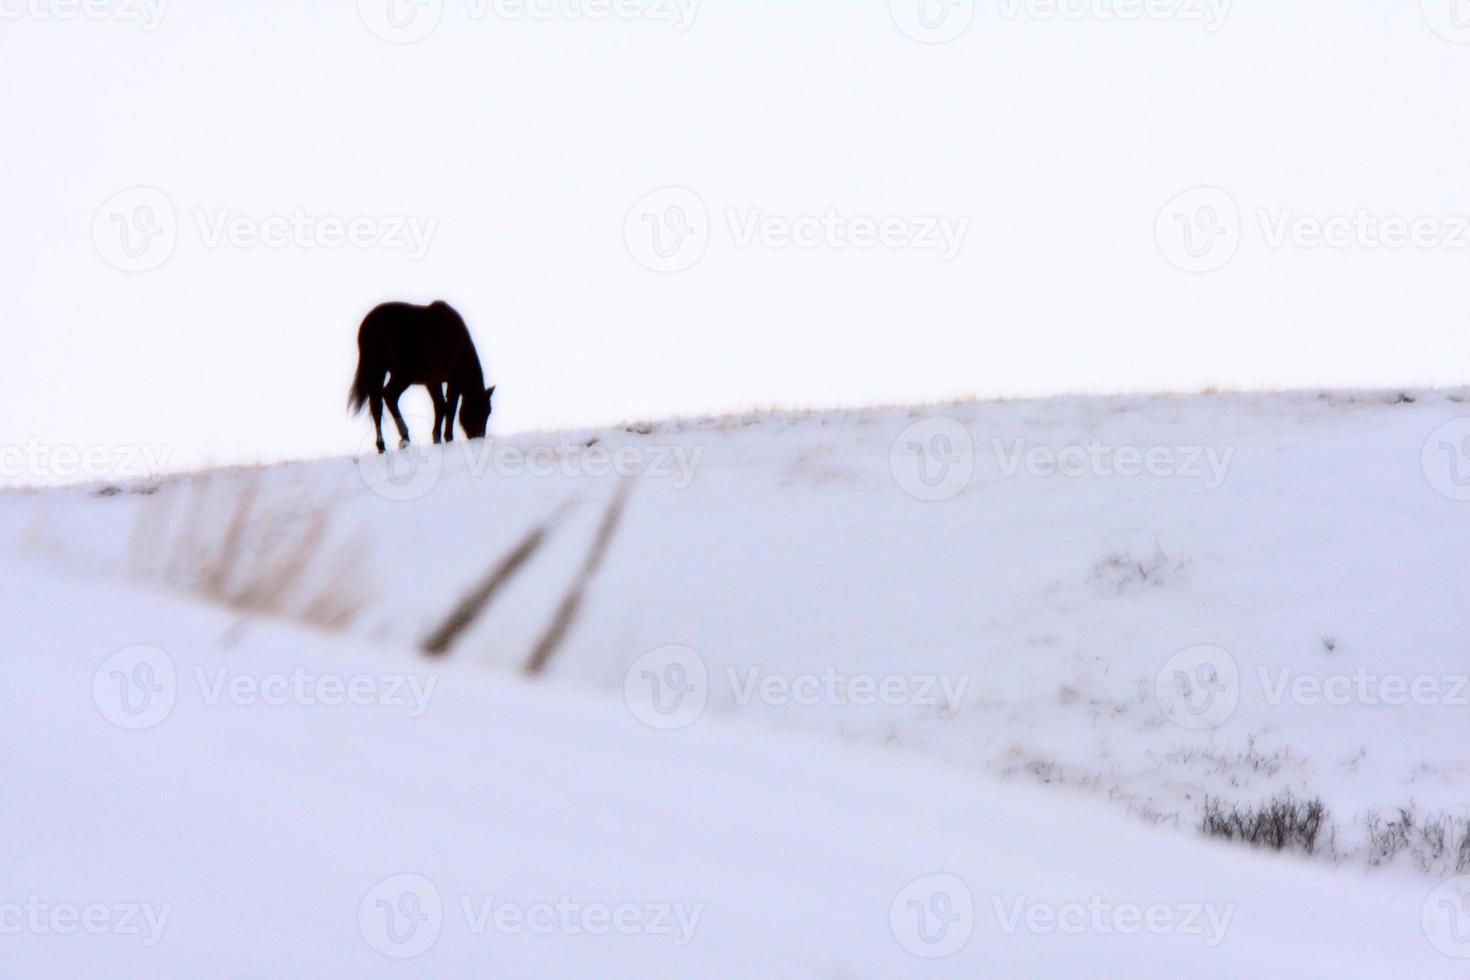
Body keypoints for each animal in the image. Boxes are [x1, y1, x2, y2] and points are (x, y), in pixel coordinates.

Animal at [349, 301, 499, 455]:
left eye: (489, 411)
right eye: (480, 409)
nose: (479, 437)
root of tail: (368, 327)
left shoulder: (434, 382)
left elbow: (441, 407)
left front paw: (437, 438)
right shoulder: (449, 382)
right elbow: (448, 408)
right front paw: (447, 438)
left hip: (378, 370)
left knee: (377, 406)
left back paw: (382, 446)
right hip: (402, 375)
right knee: (389, 396)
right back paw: (404, 438)